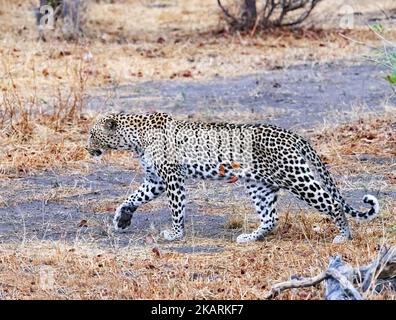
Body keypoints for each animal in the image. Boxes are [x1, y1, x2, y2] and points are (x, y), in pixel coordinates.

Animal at [87, 111, 380, 244]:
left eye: (91, 133)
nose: (87, 148)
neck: (134, 138)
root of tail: (292, 134)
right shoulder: (155, 180)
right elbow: (132, 197)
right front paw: (122, 219)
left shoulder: (172, 179)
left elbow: (176, 209)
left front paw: (175, 234)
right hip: (260, 185)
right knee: (270, 218)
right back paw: (250, 237)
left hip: (297, 177)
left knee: (333, 203)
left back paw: (344, 236)